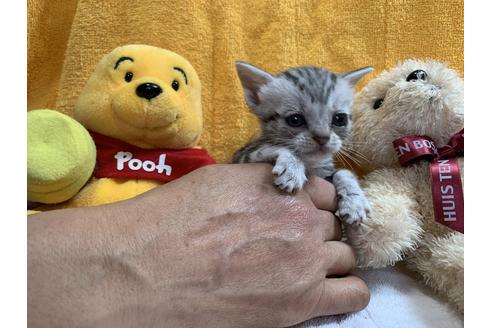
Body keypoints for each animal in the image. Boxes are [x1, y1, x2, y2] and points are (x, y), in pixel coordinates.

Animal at [233, 61, 370, 224]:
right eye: (295, 119)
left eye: (339, 119)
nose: (322, 137)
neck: (311, 164)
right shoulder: (241, 157)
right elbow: (274, 147)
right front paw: (292, 168)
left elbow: (343, 172)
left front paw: (354, 201)